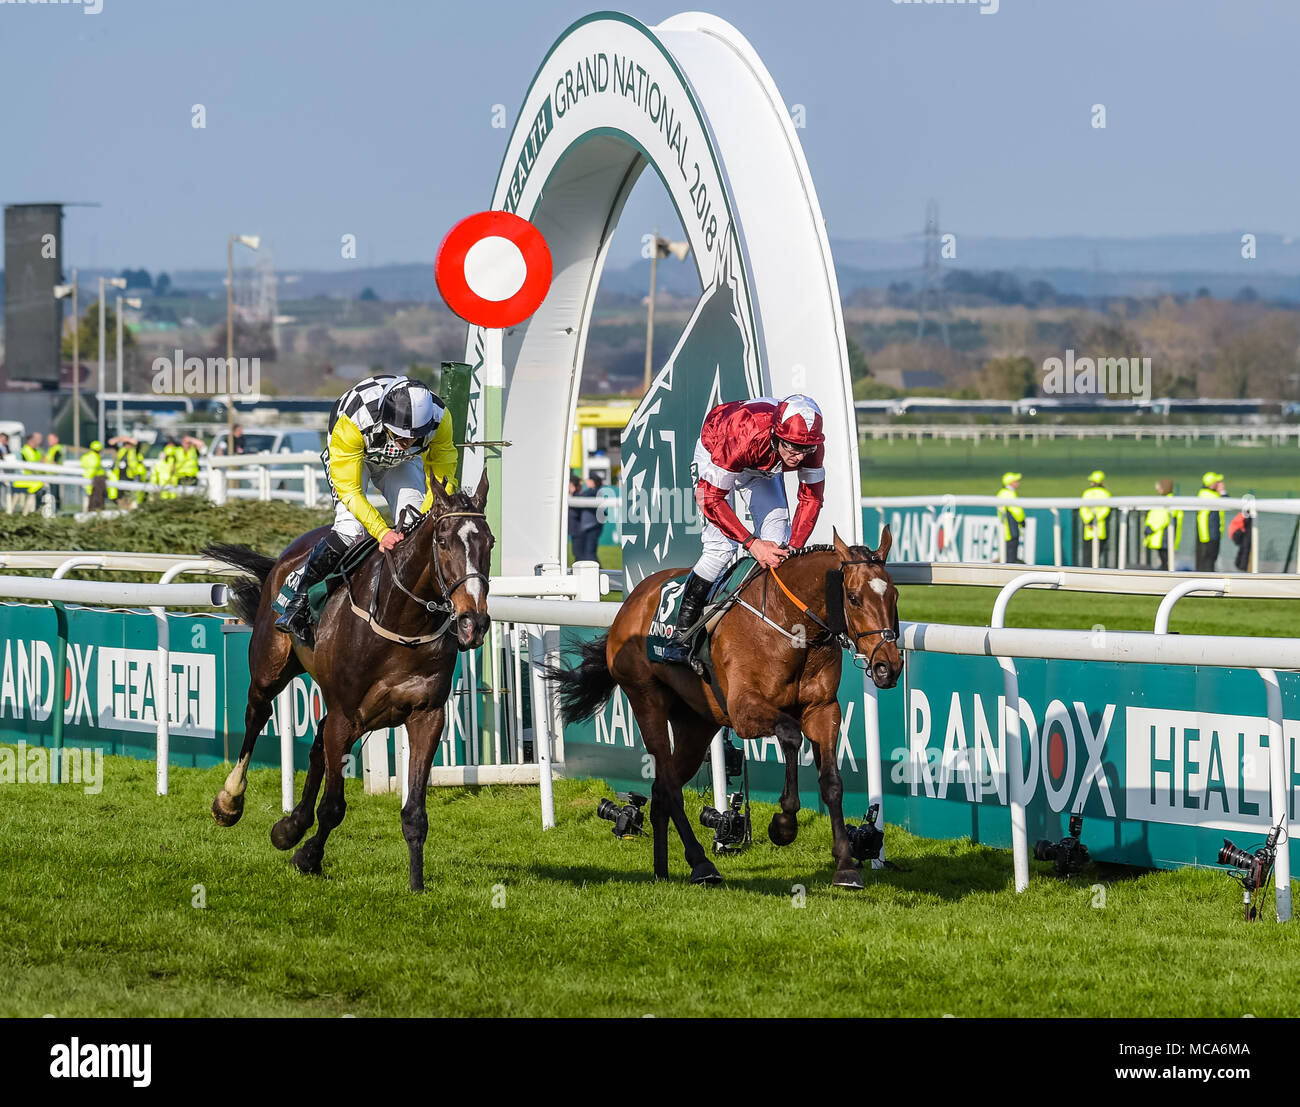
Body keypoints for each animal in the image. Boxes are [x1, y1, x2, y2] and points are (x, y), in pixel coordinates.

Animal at [202, 470, 491, 888]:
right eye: (442, 542)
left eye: (489, 542)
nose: (474, 622)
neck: (400, 622)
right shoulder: (346, 714)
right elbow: (334, 807)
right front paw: (308, 856)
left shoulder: (426, 715)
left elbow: (415, 813)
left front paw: (416, 884)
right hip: (270, 667)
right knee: (257, 715)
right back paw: (231, 801)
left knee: (317, 744)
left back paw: (291, 825)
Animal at [543, 527, 899, 888]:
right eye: (853, 598)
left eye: (894, 595)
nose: (888, 667)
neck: (790, 626)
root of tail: (631, 602)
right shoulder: (743, 710)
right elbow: (790, 734)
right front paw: (784, 823)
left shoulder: (823, 709)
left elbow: (832, 783)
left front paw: (846, 864)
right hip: (646, 700)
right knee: (669, 786)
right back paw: (701, 864)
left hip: (696, 723)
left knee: (661, 789)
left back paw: (662, 870)